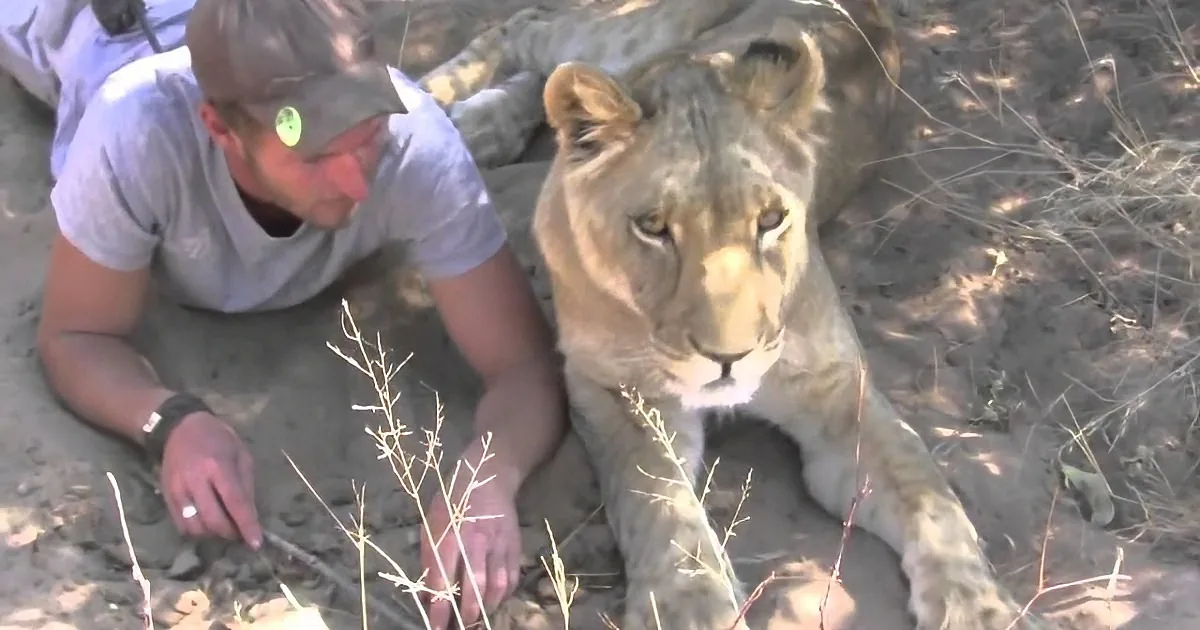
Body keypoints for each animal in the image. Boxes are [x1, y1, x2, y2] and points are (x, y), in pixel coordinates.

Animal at [387, 0, 1057, 628]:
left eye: (771, 220)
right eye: (653, 227)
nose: (730, 358)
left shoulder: (843, 394)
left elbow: (929, 494)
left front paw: (981, 608)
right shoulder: (617, 390)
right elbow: (659, 502)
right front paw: (690, 606)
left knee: (551, 83)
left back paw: (476, 125)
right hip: (627, 34)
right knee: (528, 30)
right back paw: (425, 109)